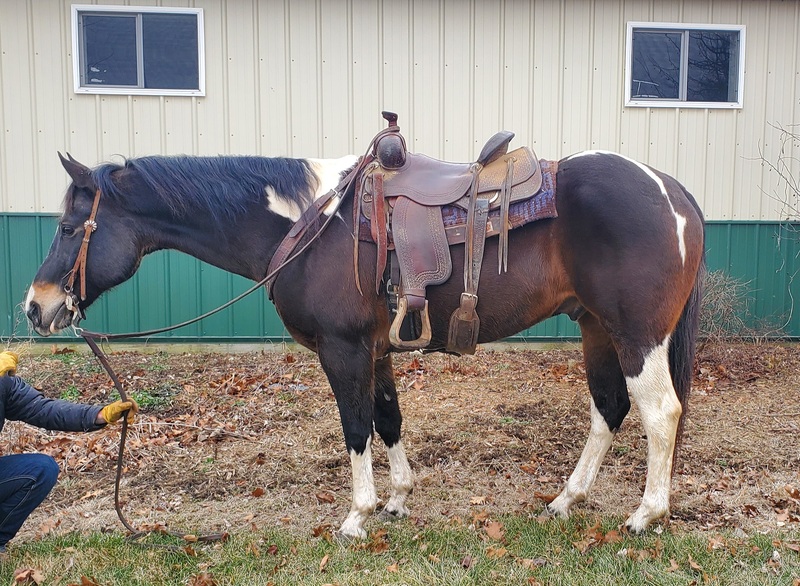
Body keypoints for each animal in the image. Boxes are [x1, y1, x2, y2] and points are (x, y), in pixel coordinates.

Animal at [24, 137, 705, 540]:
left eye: (68, 227)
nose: (37, 307)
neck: (311, 224)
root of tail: (670, 188)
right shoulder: (376, 350)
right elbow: (388, 418)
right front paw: (399, 499)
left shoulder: (344, 348)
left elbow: (355, 427)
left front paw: (359, 514)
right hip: (596, 327)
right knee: (609, 410)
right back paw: (567, 500)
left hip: (636, 333)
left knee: (660, 412)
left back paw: (646, 513)